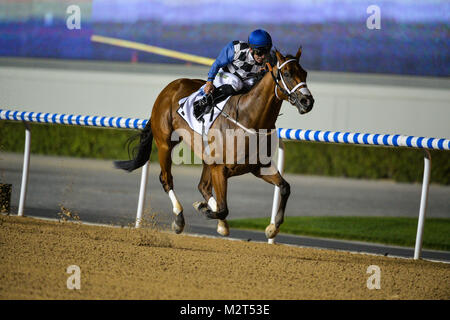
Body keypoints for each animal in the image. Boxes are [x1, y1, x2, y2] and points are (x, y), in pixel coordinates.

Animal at [114, 48, 314, 239]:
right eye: (287, 73)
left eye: (304, 73)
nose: (307, 101)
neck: (249, 117)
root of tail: (171, 86)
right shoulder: (220, 168)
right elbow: (223, 208)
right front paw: (205, 210)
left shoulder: (258, 166)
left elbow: (285, 187)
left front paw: (272, 228)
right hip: (165, 142)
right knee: (166, 179)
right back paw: (179, 218)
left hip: (205, 156)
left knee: (202, 186)